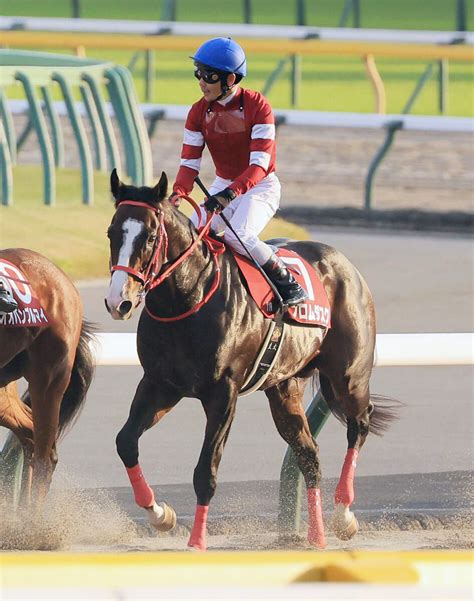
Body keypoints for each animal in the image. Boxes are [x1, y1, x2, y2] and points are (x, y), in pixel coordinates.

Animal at [105, 170, 398, 548]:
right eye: (111, 233)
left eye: (151, 236)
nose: (119, 301)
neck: (189, 297)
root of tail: (345, 264)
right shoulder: (160, 384)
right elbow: (126, 442)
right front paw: (160, 515)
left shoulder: (223, 393)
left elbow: (206, 471)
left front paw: (196, 543)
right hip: (284, 387)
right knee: (309, 454)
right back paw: (316, 537)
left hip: (348, 374)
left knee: (359, 424)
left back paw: (344, 514)